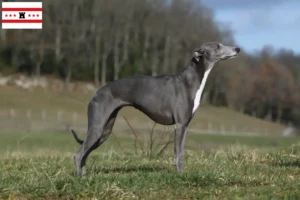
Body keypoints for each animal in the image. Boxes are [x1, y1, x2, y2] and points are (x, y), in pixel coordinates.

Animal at [71, 42, 240, 175]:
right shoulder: (179, 125)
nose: (238, 49)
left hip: (105, 130)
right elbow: (178, 153)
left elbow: (181, 152)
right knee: (79, 155)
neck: (189, 80)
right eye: (218, 46)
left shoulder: (185, 126)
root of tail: (96, 93)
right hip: (97, 127)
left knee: (85, 154)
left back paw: (85, 176)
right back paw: (80, 179)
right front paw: (180, 175)